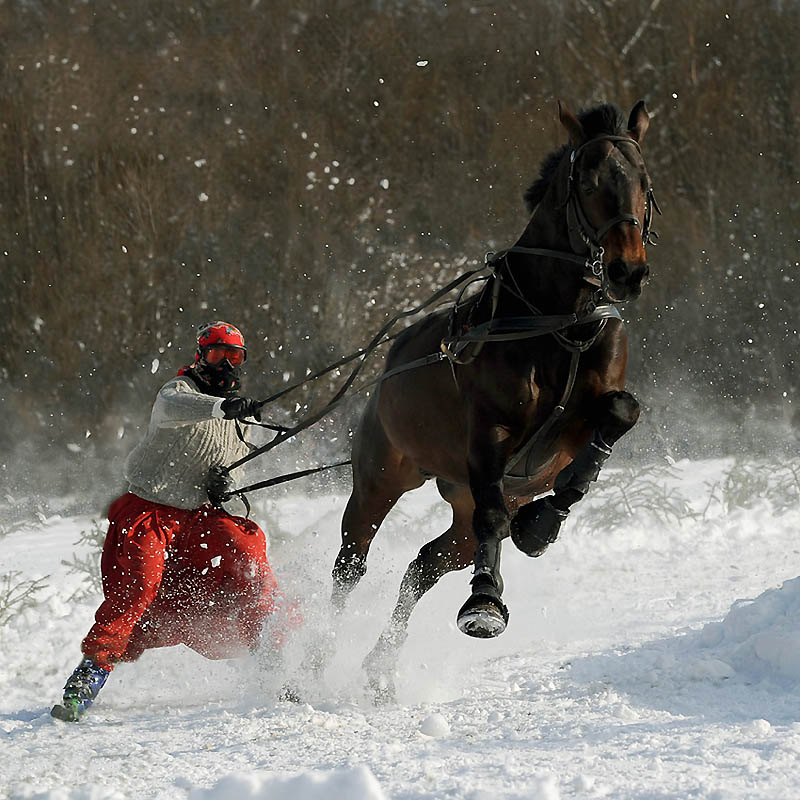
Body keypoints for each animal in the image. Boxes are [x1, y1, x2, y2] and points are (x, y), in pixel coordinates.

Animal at [330, 98, 656, 700]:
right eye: (589, 182)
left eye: (644, 183)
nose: (629, 270)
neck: (559, 323)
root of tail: (387, 364)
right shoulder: (489, 434)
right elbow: (493, 517)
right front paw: (485, 603)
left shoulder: (577, 425)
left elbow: (619, 414)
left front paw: (543, 523)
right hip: (382, 477)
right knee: (352, 564)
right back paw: (309, 665)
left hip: (456, 509)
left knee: (425, 565)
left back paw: (380, 666)